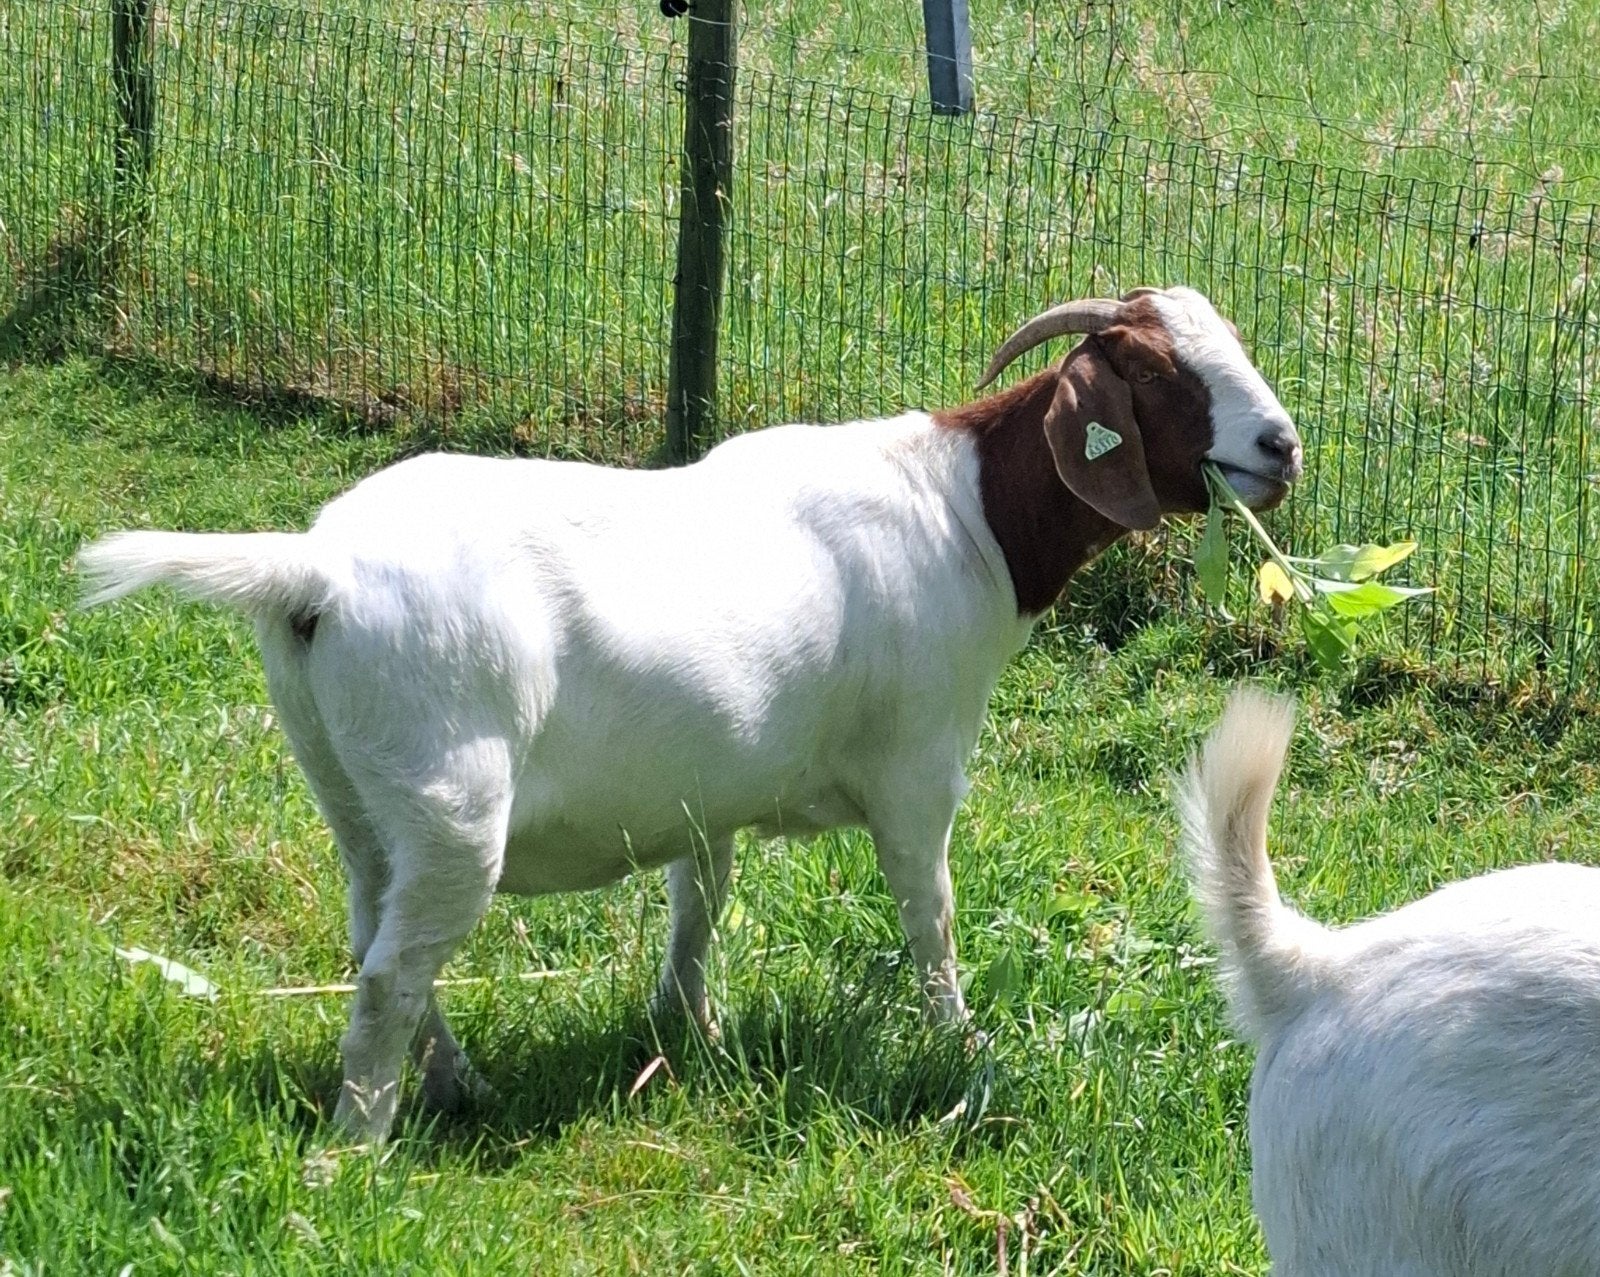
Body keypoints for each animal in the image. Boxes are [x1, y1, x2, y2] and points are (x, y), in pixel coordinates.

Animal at [79, 286, 1302, 1142]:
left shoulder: (707, 788)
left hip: (355, 794)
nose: (1281, 444)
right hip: (452, 800)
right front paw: (960, 1045)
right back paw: (356, 1147)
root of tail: (315, 569)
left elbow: (696, 910)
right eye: (1156, 370)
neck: (964, 512)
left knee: (376, 936)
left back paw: (457, 1083)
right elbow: (931, 920)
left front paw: (692, 1033)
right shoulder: (917, 771)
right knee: (388, 972)